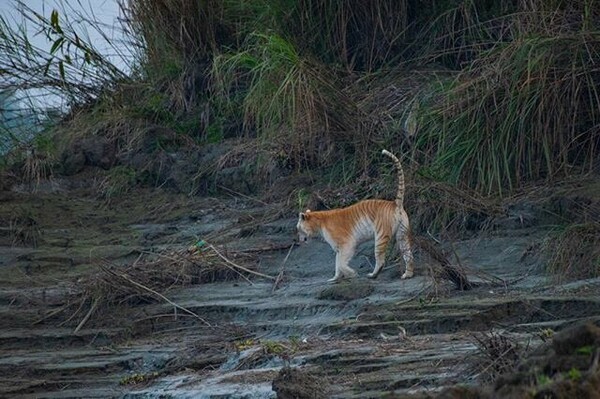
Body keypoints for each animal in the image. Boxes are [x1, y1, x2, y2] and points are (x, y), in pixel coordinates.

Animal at [296, 150, 412, 284]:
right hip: (402, 234)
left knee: (381, 259)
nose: (299, 240)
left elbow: (341, 263)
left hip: (380, 237)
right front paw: (334, 278)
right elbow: (337, 263)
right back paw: (408, 274)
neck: (319, 222)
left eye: (298, 229)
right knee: (409, 254)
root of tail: (395, 203)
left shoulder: (347, 243)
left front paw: (352, 274)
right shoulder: (339, 248)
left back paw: (373, 275)